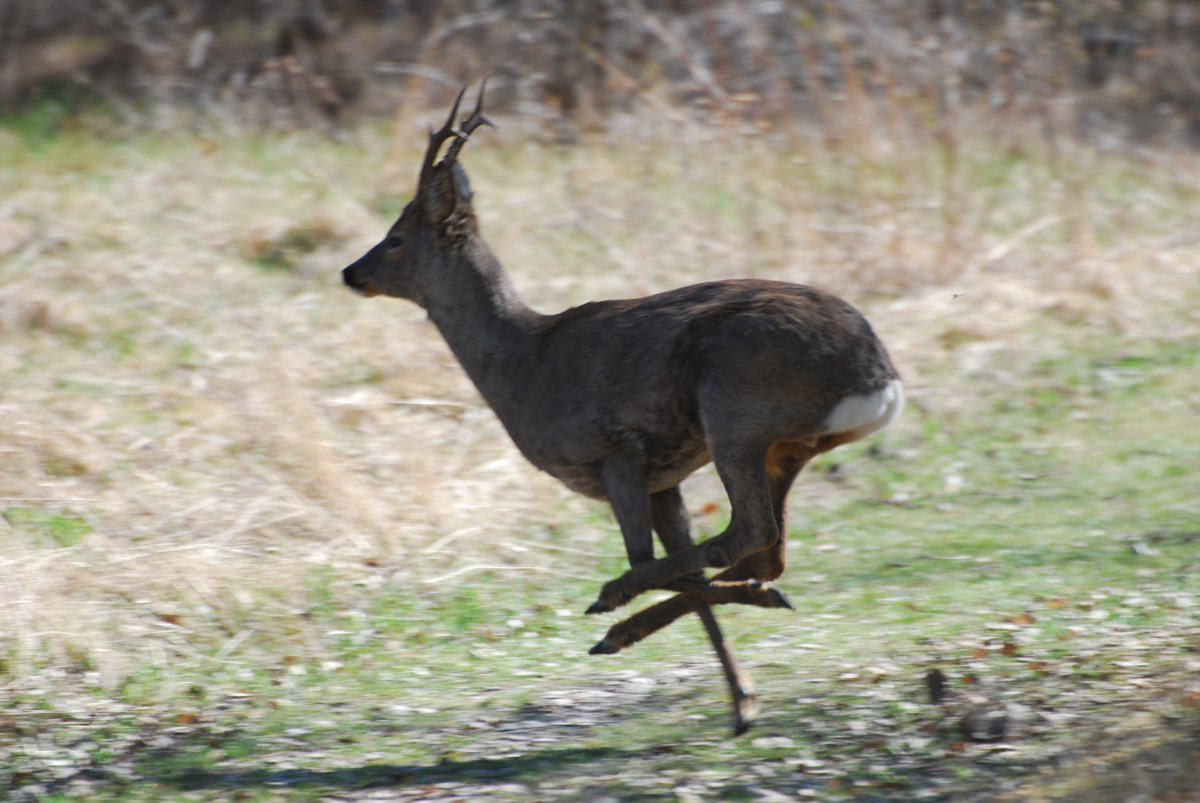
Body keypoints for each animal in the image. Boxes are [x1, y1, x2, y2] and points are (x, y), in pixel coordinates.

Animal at [338, 79, 902, 734]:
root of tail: (880, 377)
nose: (350, 272)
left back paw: (615, 604)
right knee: (767, 551)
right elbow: (682, 567)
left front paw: (625, 621)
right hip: (784, 446)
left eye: (395, 238)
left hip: (734, 411)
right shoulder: (664, 477)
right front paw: (742, 700)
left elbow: (657, 559)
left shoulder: (614, 451)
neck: (522, 365)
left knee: (745, 533)